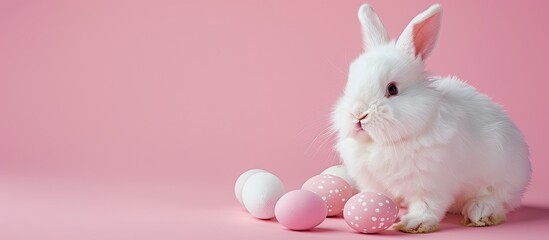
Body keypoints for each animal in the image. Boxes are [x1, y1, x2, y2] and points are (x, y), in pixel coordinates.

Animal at [332, 3, 528, 232]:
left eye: (392, 89)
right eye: (349, 84)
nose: (358, 115)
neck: (384, 143)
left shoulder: (430, 184)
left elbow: (427, 205)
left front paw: (415, 223)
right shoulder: (373, 182)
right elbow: (377, 196)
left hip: (502, 176)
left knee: (498, 199)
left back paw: (479, 210)